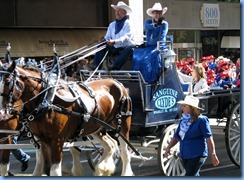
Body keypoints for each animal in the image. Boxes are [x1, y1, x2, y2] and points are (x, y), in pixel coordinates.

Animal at [0, 60, 133, 176]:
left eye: (7, 81)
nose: (2, 114)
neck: (46, 100)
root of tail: (117, 82)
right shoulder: (40, 139)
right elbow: (39, 166)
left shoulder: (56, 141)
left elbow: (54, 170)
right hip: (96, 127)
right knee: (110, 145)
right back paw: (102, 169)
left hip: (123, 123)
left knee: (125, 151)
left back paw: (124, 172)